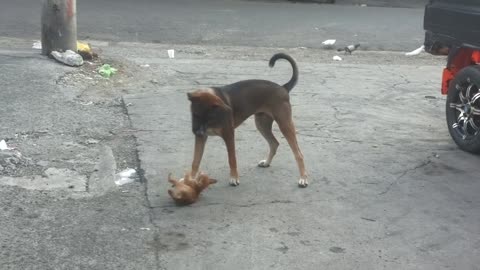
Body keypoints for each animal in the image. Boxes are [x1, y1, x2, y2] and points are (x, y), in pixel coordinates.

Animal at [188, 52, 308, 188]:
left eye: (209, 117)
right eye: (194, 115)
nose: (197, 132)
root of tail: (283, 88)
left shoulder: (229, 135)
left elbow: (232, 159)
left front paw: (234, 178)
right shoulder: (201, 138)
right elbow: (195, 161)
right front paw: (190, 180)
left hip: (285, 124)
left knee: (298, 154)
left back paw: (303, 178)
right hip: (262, 124)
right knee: (274, 143)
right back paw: (267, 162)